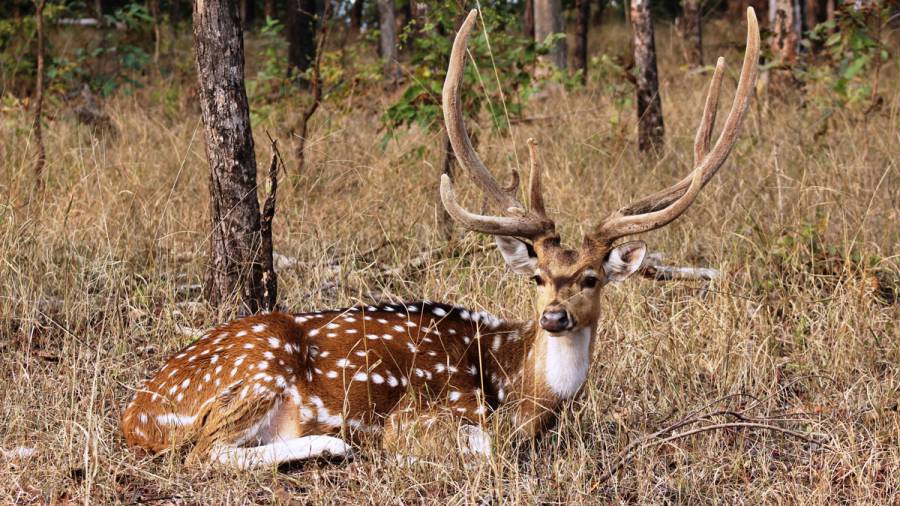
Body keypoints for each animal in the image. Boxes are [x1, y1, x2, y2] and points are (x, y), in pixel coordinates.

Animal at [121, 7, 760, 468]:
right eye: (538, 276)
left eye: (591, 278)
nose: (554, 316)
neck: (523, 394)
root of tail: (136, 416)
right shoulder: (427, 413)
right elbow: (486, 448)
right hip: (258, 371)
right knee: (202, 454)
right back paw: (334, 444)